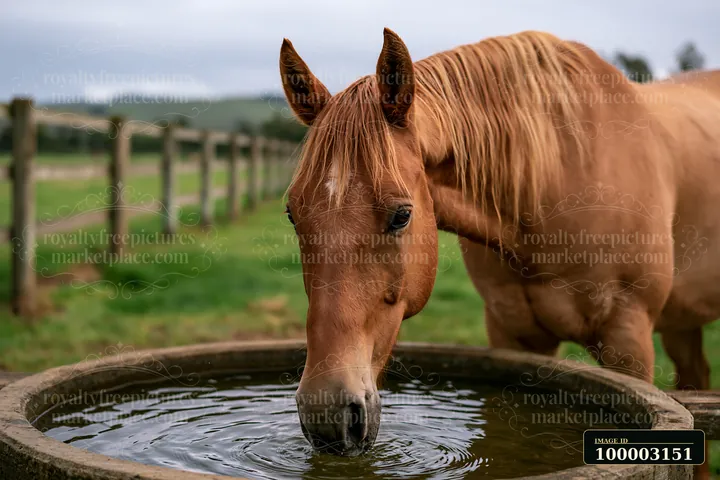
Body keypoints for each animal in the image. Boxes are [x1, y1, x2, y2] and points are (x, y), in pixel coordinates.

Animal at [279, 28, 720, 475]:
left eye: (402, 216)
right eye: (292, 214)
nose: (326, 412)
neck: (556, 178)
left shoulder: (629, 340)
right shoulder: (511, 334)